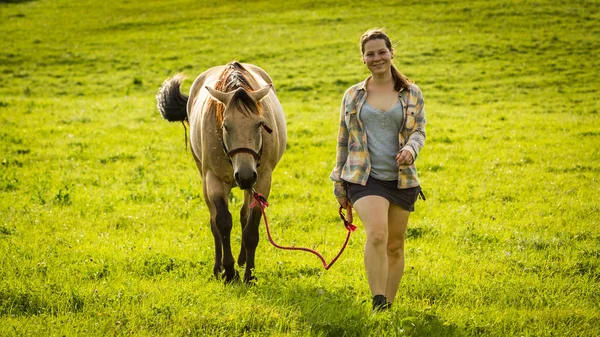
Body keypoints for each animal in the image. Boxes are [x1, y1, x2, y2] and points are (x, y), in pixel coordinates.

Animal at [155, 61, 286, 282]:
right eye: (225, 125)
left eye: (259, 124)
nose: (244, 176)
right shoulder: (214, 180)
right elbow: (222, 223)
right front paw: (229, 271)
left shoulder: (262, 181)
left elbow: (251, 228)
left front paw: (249, 274)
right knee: (213, 220)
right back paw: (218, 267)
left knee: (243, 215)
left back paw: (242, 260)